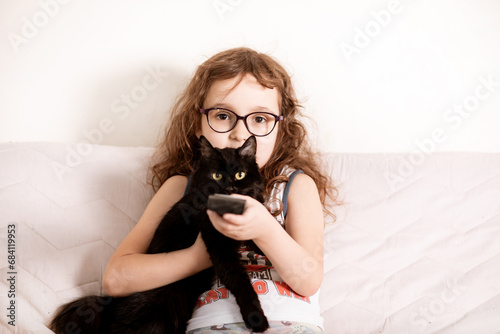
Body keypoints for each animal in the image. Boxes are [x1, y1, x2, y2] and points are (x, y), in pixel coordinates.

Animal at [49, 136, 270, 334]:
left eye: (240, 174)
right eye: (217, 176)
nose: (230, 188)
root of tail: (110, 305)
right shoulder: (219, 248)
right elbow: (239, 280)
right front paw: (256, 318)